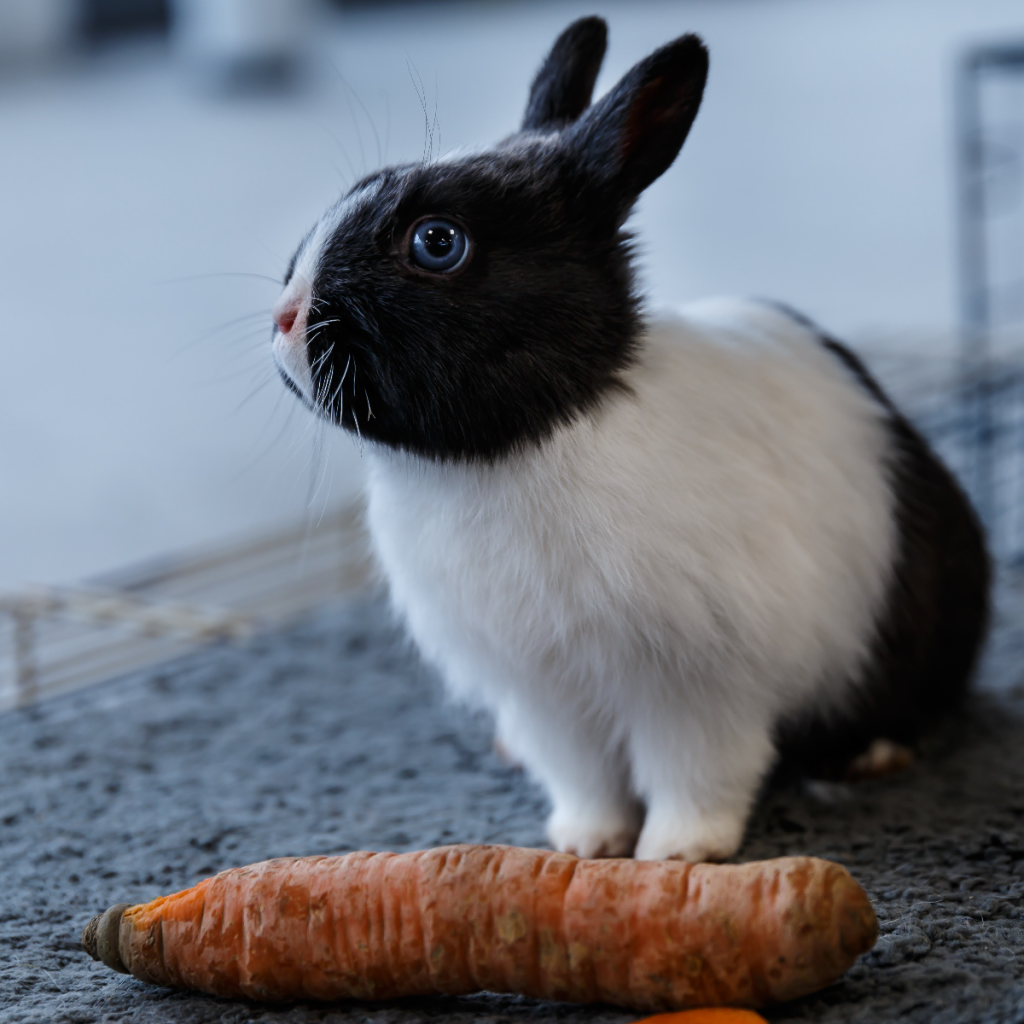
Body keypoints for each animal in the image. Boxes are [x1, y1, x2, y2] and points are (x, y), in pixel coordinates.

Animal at [272, 18, 991, 864]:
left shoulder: (693, 686)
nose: (286, 318)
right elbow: (584, 777)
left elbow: (696, 772)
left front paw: (677, 854)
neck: (528, 442)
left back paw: (871, 757)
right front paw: (585, 846)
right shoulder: (547, 696)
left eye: (437, 242)